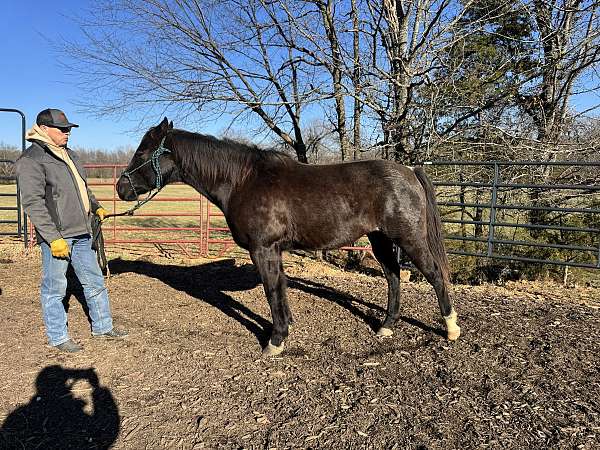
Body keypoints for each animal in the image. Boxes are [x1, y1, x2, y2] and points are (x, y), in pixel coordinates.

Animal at [118, 118, 464, 356]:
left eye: (143, 152)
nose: (121, 188)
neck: (243, 181)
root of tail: (409, 172)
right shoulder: (274, 252)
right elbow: (280, 289)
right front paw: (285, 327)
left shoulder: (263, 250)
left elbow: (272, 291)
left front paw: (275, 341)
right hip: (379, 239)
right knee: (393, 277)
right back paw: (386, 327)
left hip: (409, 238)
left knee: (434, 275)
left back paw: (451, 328)